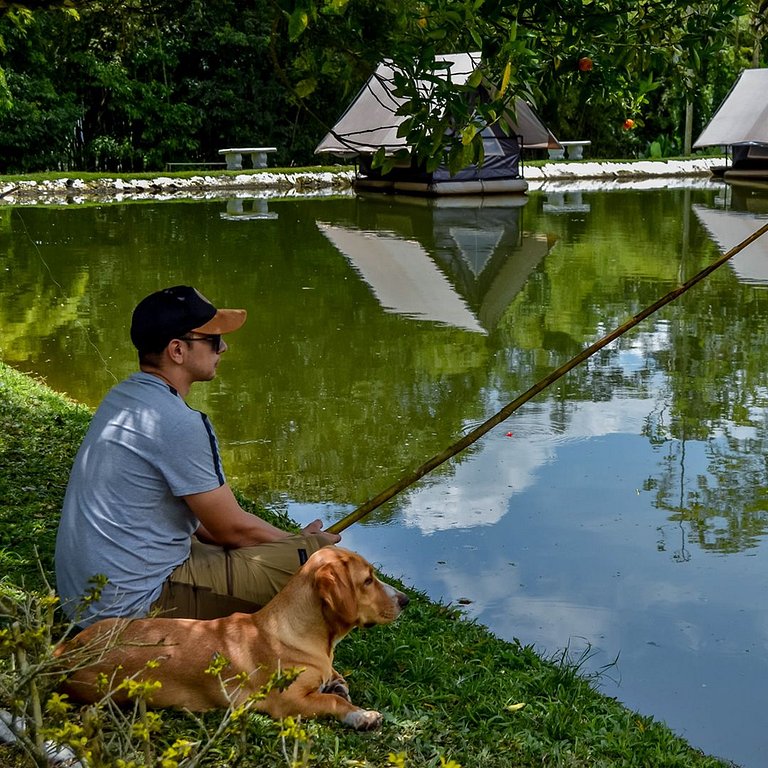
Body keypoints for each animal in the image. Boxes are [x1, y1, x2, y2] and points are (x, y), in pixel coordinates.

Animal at [55, 544, 408, 728]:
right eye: (368, 580)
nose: (405, 600)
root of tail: (70, 648)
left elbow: (334, 683)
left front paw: (338, 683)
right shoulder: (287, 701)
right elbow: (333, 700)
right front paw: (362, 715)